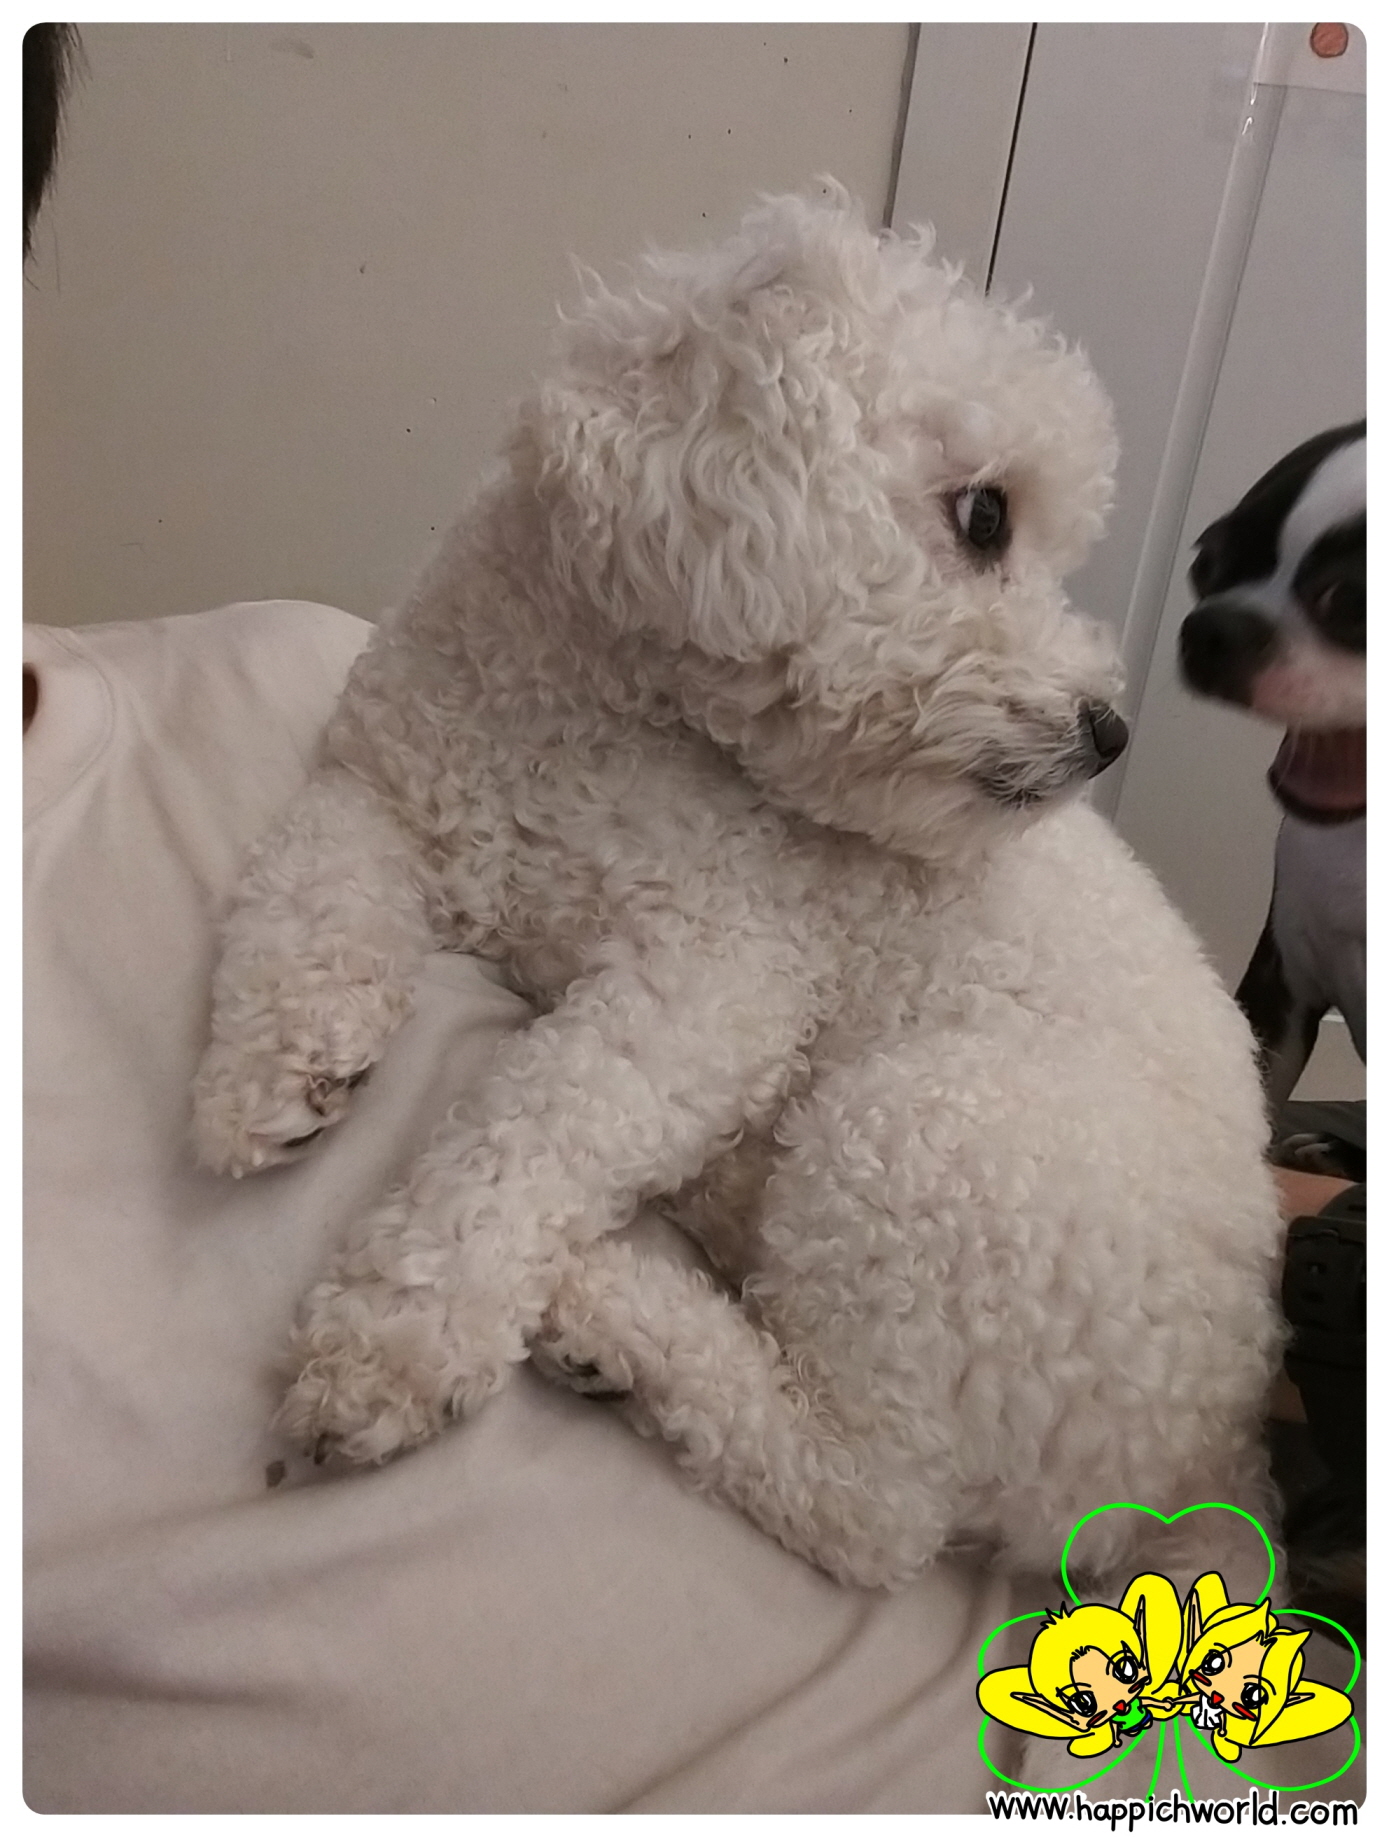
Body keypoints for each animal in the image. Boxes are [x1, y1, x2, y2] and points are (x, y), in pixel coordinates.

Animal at [193, 190, 1284, 1588]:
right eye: (987, 516)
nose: (1109, 730)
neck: (595, 710)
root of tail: (1202, 1467)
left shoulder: (713, 978)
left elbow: (533, 1123)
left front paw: (399, 1333)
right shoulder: (381, 786)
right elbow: (302, 898)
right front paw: (274, 1075)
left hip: (929, 1136)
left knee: (871, 1509)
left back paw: (619, 1315)